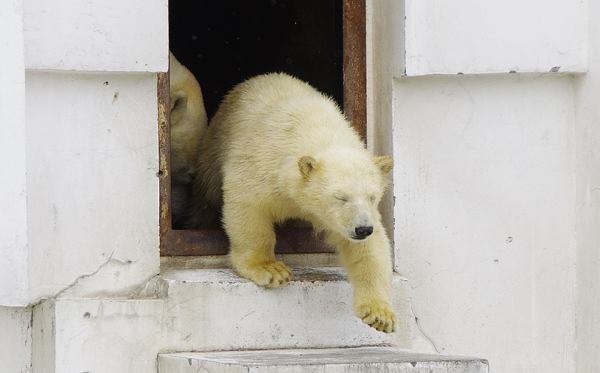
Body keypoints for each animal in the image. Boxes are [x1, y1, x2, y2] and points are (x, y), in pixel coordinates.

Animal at [190, 72, 398, 332]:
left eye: (372, 196)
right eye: (340, 197)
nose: (362, 229)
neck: (314, 129)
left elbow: (369, 250)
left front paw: (380, 314)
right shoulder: (262, 164)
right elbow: (247, 204)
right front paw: (270, 269)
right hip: (215, 144)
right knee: (206, 196)